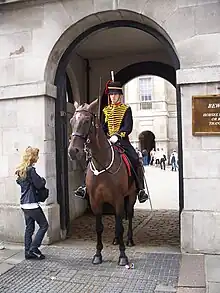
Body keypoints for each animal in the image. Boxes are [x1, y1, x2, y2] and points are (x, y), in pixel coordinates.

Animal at [68, 100, 137, 264]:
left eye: (87, 121)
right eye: (71, 121)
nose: (73, 151)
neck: (102, 165)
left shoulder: (118, 199)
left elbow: (120, 226)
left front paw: (123, 256)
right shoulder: (95, 201)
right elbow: (99, 227)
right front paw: (98, 254)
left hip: (131, 195)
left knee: (129, 214)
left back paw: (129, 239)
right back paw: (116, 239)